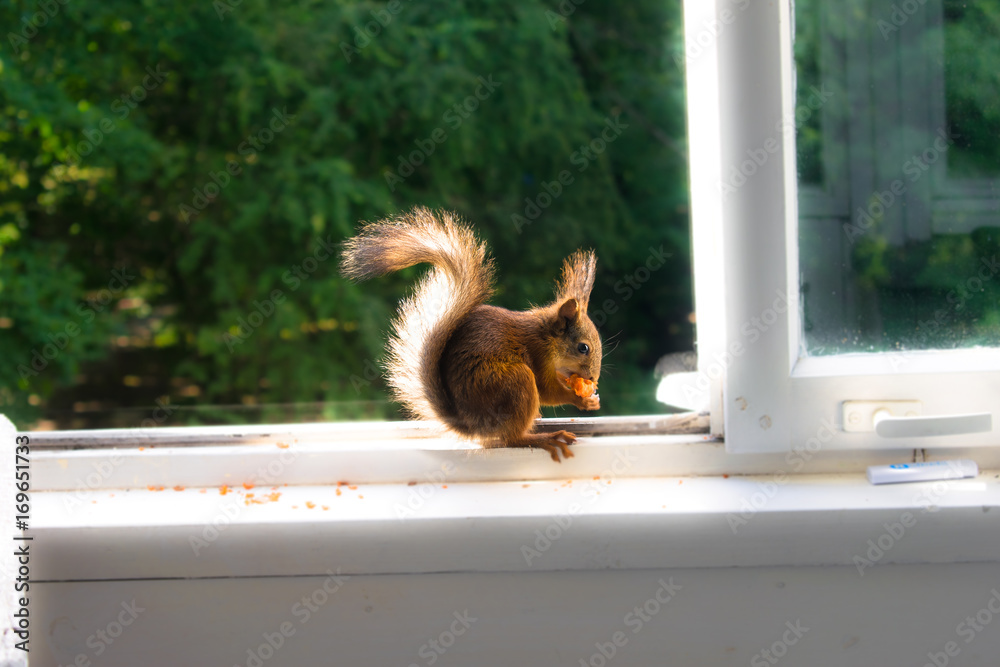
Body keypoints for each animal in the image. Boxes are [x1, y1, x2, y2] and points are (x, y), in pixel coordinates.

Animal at [342, 206, 600, 462]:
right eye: (583, 348)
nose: (593, 378)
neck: (547, 336)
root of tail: (473, 425)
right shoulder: (538, 353)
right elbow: (547, 391)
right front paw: (582, 399)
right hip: (514, 383)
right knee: (512, 438)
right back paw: (546, 438)